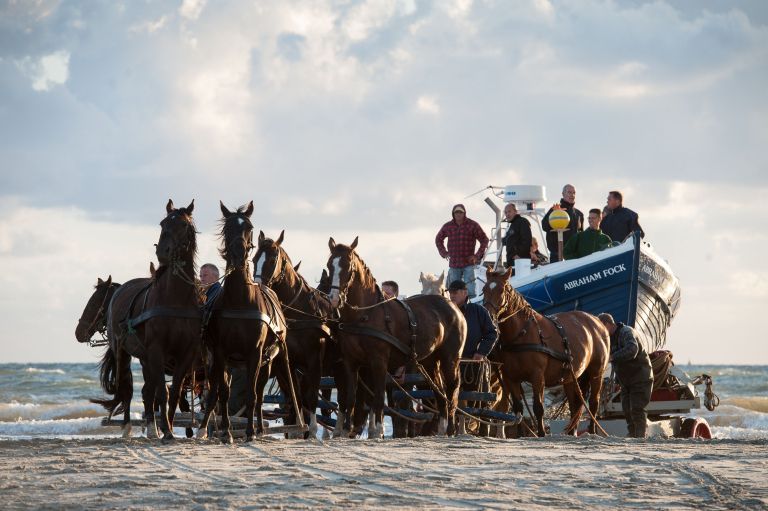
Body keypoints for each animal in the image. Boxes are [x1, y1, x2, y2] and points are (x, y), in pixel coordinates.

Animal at [92, 199, 204, 440]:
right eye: (162, 223)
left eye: (183, 224)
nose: (163, 252)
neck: (175, 299)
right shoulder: (156, 350)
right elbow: (162, 392)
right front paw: (167, 430)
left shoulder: (186, 353)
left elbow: (174, 392)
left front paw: (167, 426)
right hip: (123, 351)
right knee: (128, 389)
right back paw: (130, 427)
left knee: (147, 390)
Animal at [196, 202, 292, 442]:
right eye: (227, 227)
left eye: (249, 227)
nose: (239, 253)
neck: (240, 300)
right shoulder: (221, 352)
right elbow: (223, 393)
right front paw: (227, 432)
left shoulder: (255, 354)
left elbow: (251, 394)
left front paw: (249, 432)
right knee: (215, 392)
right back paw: (205, 428)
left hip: (268, 361)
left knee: (258, 394)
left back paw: (258, 429)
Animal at [322, 238, 462, 438]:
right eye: (329, 265)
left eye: (348, 266)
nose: (334, 298)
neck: (364, 315)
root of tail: (453, 307)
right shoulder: (351, 362)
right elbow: (350, 398)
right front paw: (344, 431)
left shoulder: (379, 362)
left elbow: (378, 398)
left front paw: (377, 431)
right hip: (430, 361)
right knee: (439, 392)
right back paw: (442, 429)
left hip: (450, 359)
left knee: (451, 390)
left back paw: (450, 428)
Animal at [484, 266, 608, 438]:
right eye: (484, 290)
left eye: (501, 290)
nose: (487, 315)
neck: (522, 333)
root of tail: (597, 321)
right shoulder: (510, 378)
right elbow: (518, 408)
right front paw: (522, 434)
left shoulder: (537, 376)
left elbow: (538, 407)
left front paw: (541, 433)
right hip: (571, 377)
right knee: (575, 405)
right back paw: (572, 432)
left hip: (596, 373)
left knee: (594, 403)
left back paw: (592, 431)